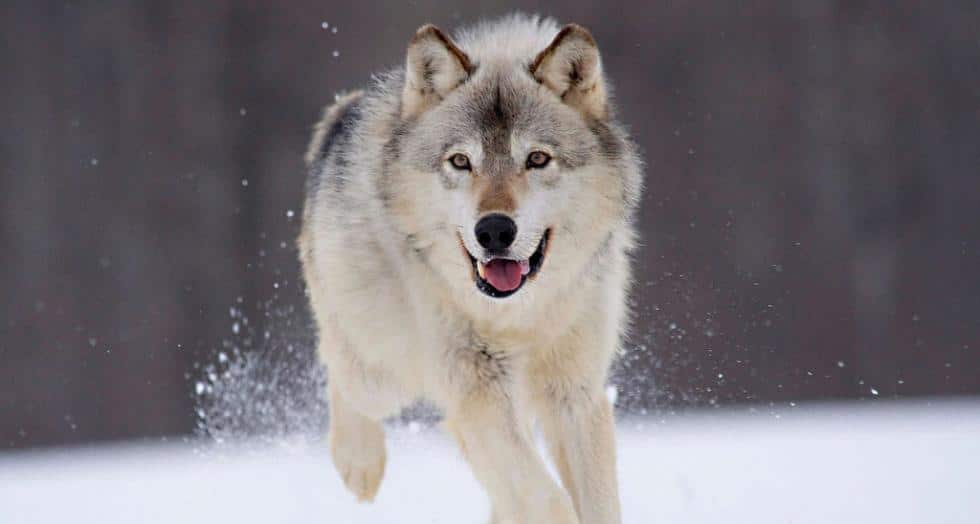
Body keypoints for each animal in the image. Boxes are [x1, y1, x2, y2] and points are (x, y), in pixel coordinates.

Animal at [298, 14, 642, 524]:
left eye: (537, 158)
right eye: (460, 161)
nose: (494, 231)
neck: (517, 316)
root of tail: (343, 114)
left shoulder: (574, 393)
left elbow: (593, 503)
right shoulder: (477, 388)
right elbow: (549, 500)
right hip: (386, 369)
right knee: (339, 367)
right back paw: (359, 463)